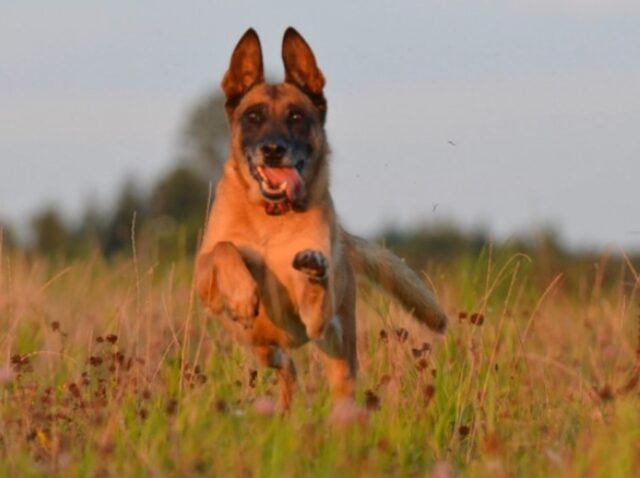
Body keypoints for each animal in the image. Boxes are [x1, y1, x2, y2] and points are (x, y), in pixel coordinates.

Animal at [195, 28, 444, 412]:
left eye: (297, 117)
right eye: (253, 117)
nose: (273, 150)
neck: (271, 219)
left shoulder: (313, 319)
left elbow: (314, 299)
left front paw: (313, 270)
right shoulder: (202, 280)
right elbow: (224, 249)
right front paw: (241, 294)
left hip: (339, 352)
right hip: (263, 347)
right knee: (285, 366)